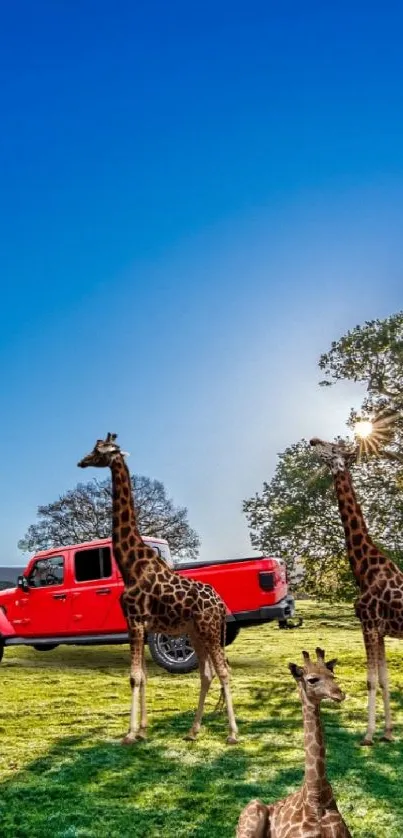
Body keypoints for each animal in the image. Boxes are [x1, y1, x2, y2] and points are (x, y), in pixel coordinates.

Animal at [77, 436, 238, 744]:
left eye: (99, 450)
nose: (81, 462)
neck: (130, 565)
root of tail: (221, 604)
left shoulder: (136, 621)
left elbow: (134, 676)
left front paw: (130, 734)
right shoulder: (139, 624)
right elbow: (144, 675)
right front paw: (142, 729)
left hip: (210, 629)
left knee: (223, 671)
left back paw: (233, 734)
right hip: (196, 633)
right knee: (206, 673)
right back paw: (193, 730)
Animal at [310, 440, 403, 748]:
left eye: (332, 448)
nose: (313, 440)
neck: (365, 568)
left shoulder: (369, 625)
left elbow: (371, 680)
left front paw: (368, 736)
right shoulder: (380, 630)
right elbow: (384, 679)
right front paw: (387, 733)